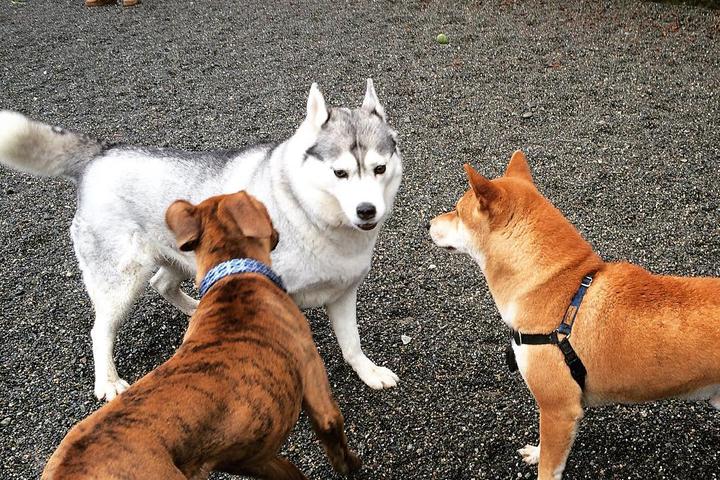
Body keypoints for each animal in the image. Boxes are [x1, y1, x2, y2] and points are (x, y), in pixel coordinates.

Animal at [0, 79, 404, 402]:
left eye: (379, 168)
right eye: (340, 173)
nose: (367, 211)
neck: (303, 210)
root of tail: (101, 154)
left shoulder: (343, 293)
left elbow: (352, 344)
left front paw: (367, 371)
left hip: (182, 260)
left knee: (163, 283)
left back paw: (197, 308)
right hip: (122, 282)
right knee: (100, 330)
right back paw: (108, 381)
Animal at [428, 150, 720, 480]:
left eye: (457, 211)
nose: (427, 223)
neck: (557, 285)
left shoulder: (559, 409)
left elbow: (548, 468)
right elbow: (546, 449)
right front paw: (536, 452)